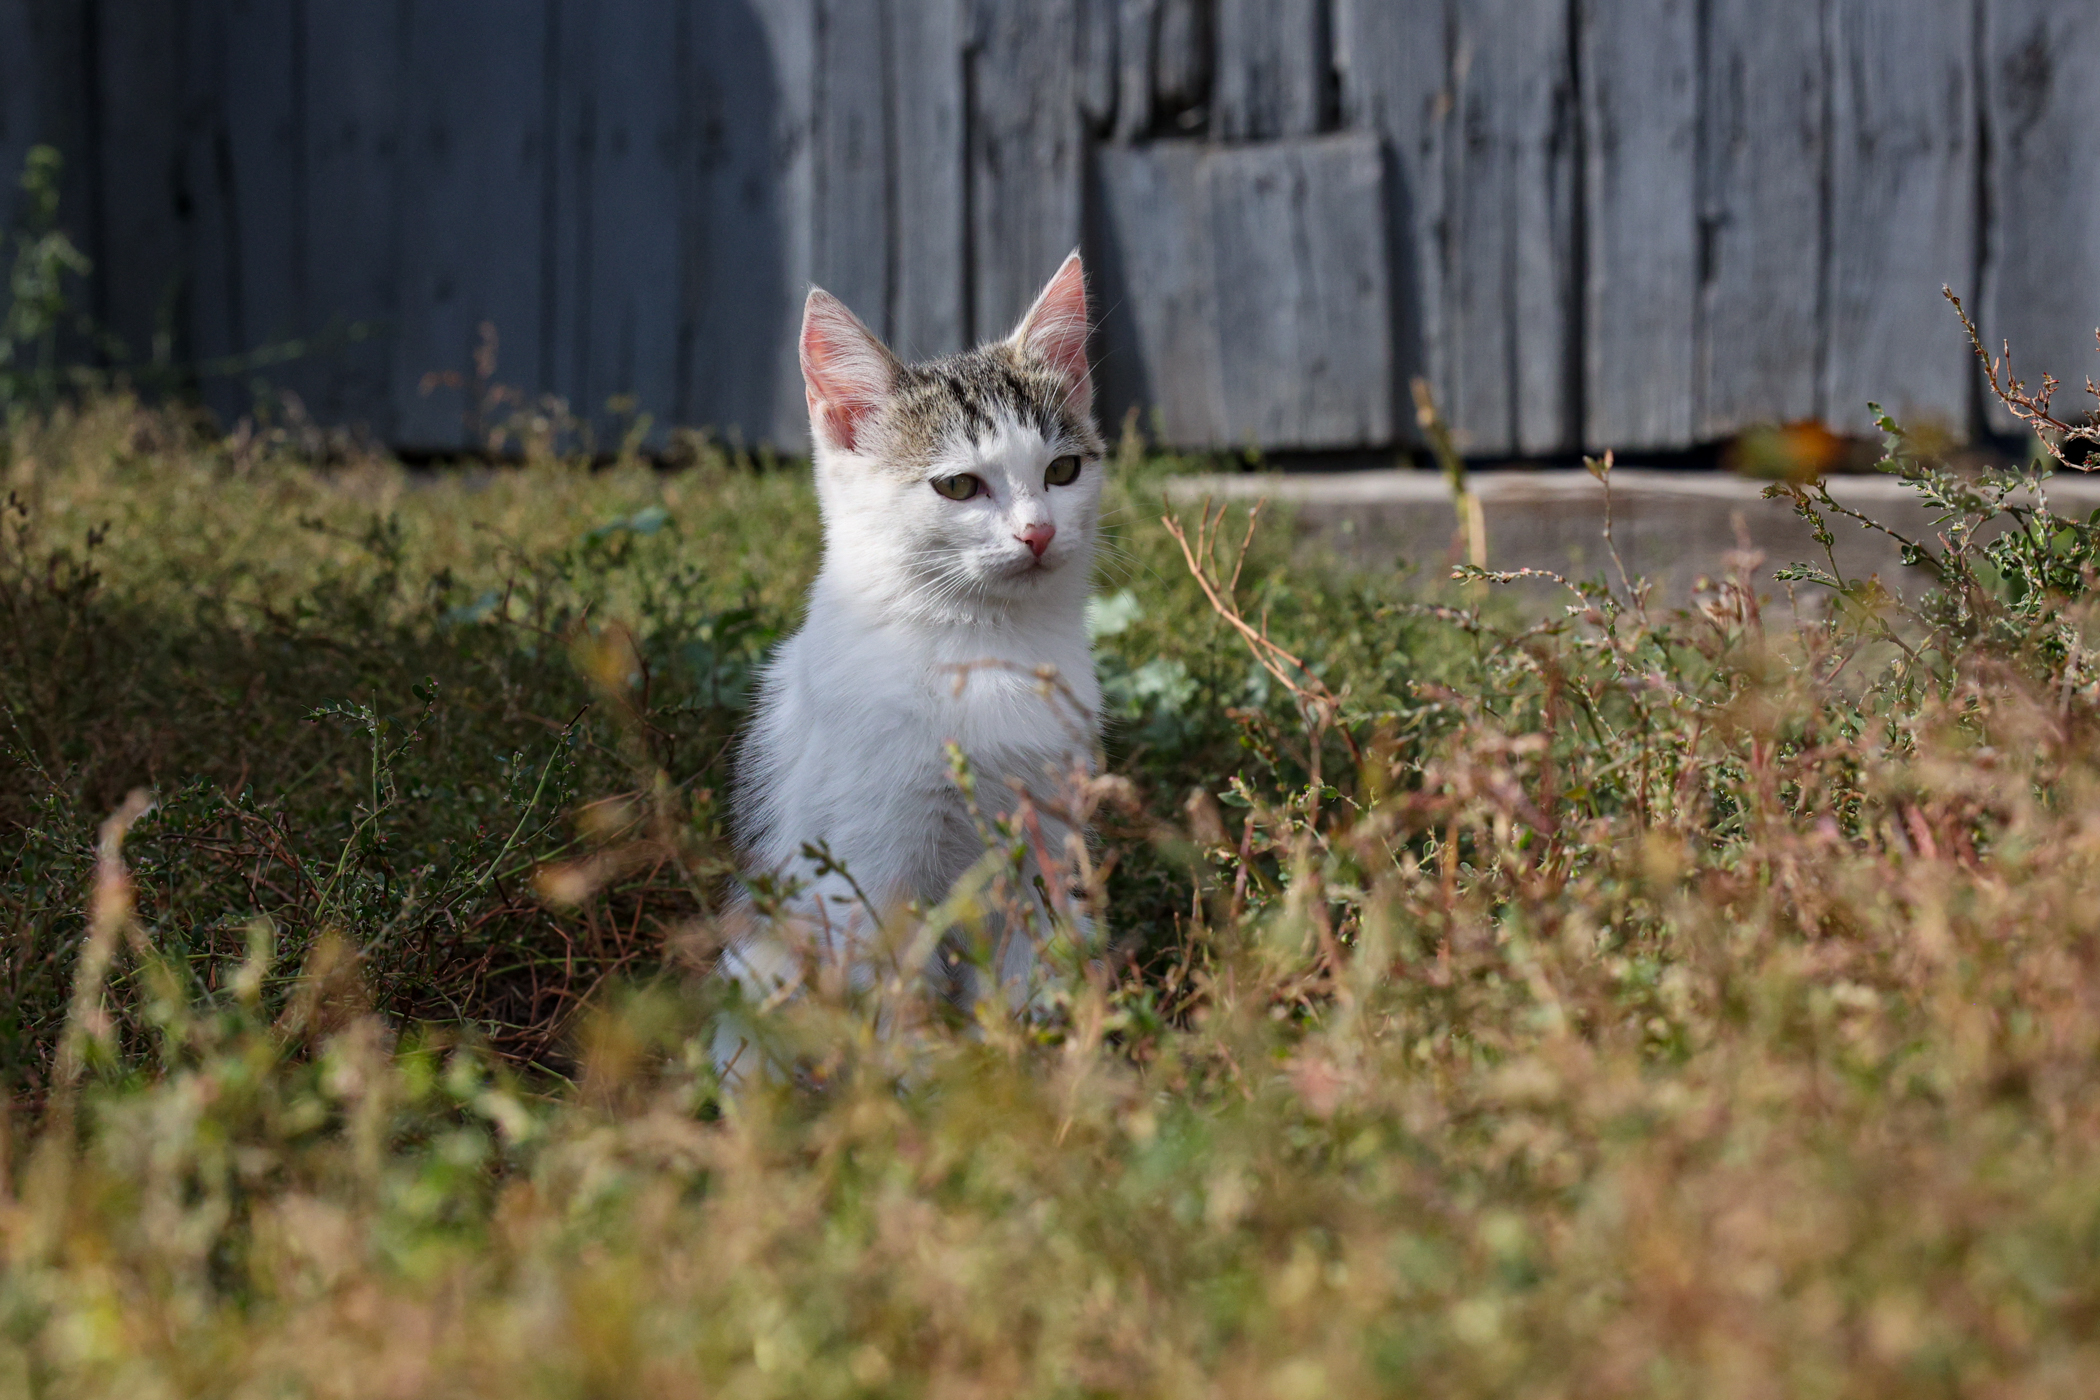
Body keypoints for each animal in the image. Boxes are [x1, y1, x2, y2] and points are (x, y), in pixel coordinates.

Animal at [716, 252, 1106, 1067]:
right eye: (958, 484)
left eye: (1062, 472)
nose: (1038, 532)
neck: (982, 648)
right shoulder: (863, 872)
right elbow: (896, 1003)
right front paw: (925, 1086)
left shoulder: (1047, 852)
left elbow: (1028, 970)